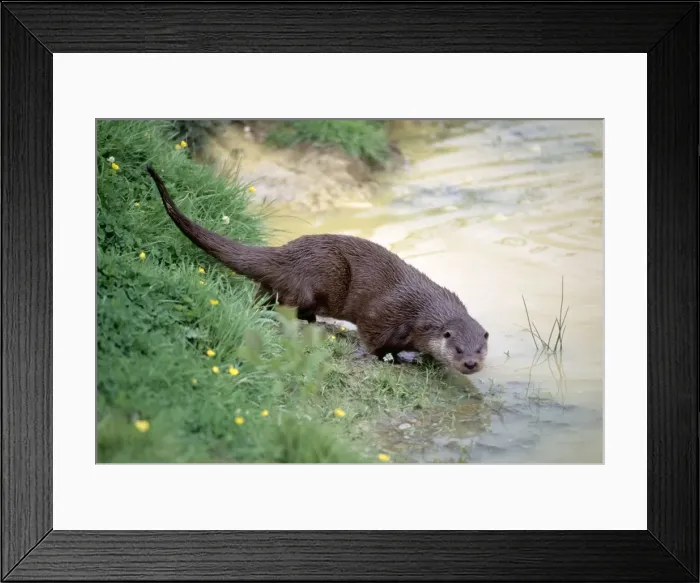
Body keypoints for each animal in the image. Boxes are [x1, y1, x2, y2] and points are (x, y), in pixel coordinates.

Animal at [145, 164, 489, 375]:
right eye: (459, 349)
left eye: (480, 349)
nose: (471, 364)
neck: (422, 312)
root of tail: (285, 253)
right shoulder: (384, 314)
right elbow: (373, 339)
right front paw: (394, 358)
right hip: (322, 273)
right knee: (289, 305)